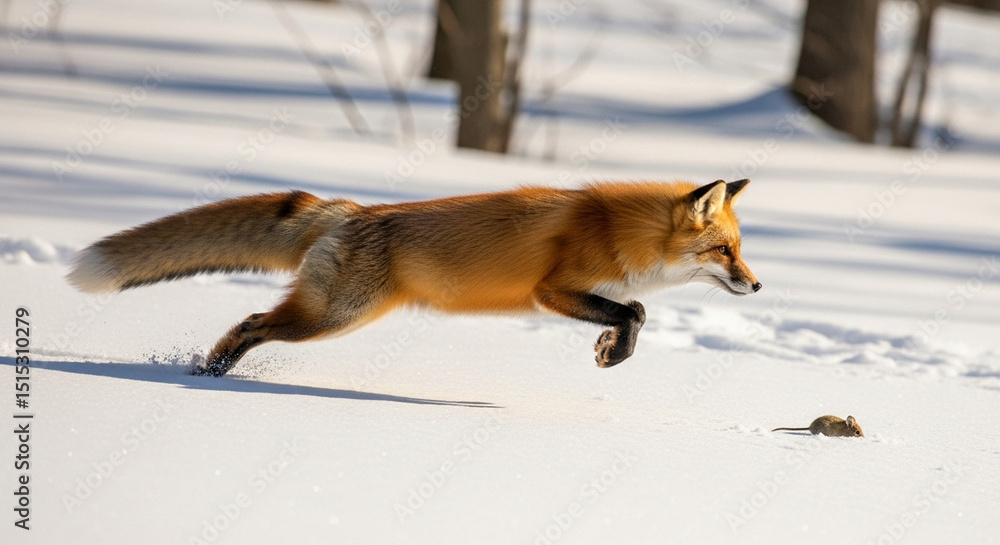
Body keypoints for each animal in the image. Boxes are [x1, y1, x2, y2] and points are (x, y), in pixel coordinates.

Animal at [67, 179, 760, 377]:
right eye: (725, 251)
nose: (757, 287)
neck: (621, 232)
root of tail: (350, 210)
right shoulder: (553, 291)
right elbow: (635, 311)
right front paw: (614, 352)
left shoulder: (583, 294)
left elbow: (630, 311)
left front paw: (607, 348)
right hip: (333, 317)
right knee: (250, 323)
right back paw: (210, 376)